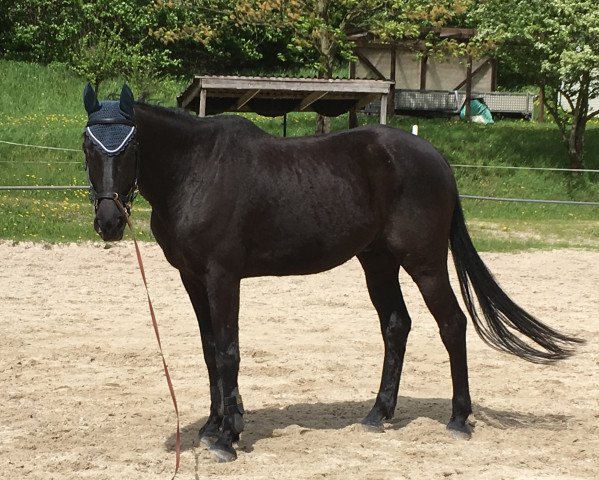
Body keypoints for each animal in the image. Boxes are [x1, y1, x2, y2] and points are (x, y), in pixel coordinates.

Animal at [83, 85, 580, 462]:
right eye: (90, 145)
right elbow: (209, 352)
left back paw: (458, 419)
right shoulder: (192, 278)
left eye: (129, 146)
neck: (196, 170)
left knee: (452, 324)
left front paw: (228, 437)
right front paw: (212, 426)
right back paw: (379, 414)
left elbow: (227, 352)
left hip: (424, 263)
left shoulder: (223, 277)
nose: (108, 223)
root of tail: (435, 158)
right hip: (378, 261)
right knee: (397, 325)